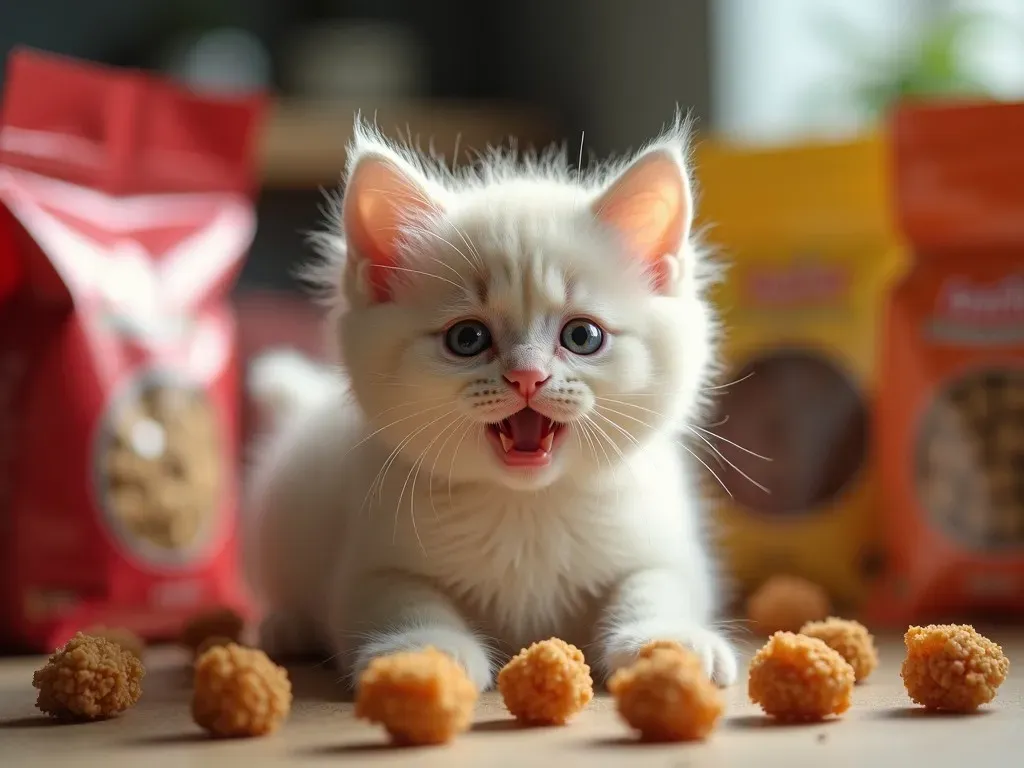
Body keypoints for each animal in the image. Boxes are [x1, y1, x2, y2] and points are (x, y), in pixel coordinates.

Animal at [243, 114, 737, 692]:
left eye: (583, 336)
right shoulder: (370, 561)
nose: (528, 376)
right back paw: (286, 626)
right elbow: (399, 598)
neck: (526, 507)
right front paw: (423, 651)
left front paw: (669, 640)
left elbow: (656, 583)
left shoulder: (664, 545)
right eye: (467, 339)